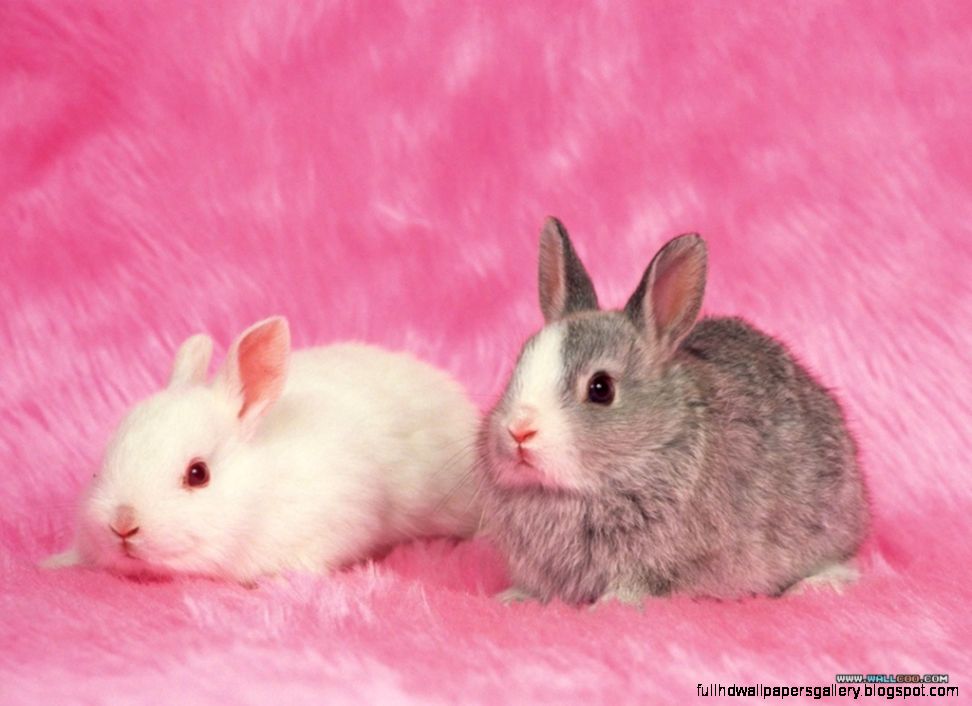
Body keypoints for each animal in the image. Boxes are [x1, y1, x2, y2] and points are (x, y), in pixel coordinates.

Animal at [480, 217, 869, 605]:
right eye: (517, 367)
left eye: (601, 388)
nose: (519, 430)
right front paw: (511, 599)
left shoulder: (651, 562)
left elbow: (633, 584)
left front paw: (611, 604)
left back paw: (816, 584)